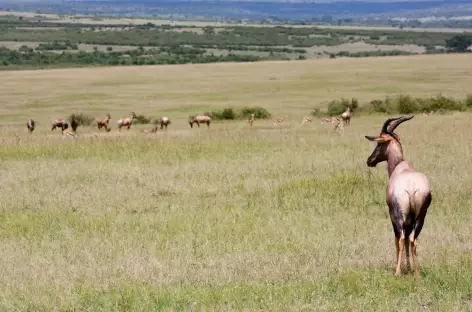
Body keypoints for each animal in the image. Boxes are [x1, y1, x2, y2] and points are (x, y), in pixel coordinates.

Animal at [366, 115, 432, 278]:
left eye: (379, 144)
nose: (369, 160)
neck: (401, 167)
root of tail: (411, 187)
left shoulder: (392, 216)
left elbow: (397, 241)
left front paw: (400, 269)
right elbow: (408, 241)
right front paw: (408, 268)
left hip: (399, 217)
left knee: (401, 239)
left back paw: (397, 272)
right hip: (420, 217)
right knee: (412, 239)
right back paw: (417, 273)